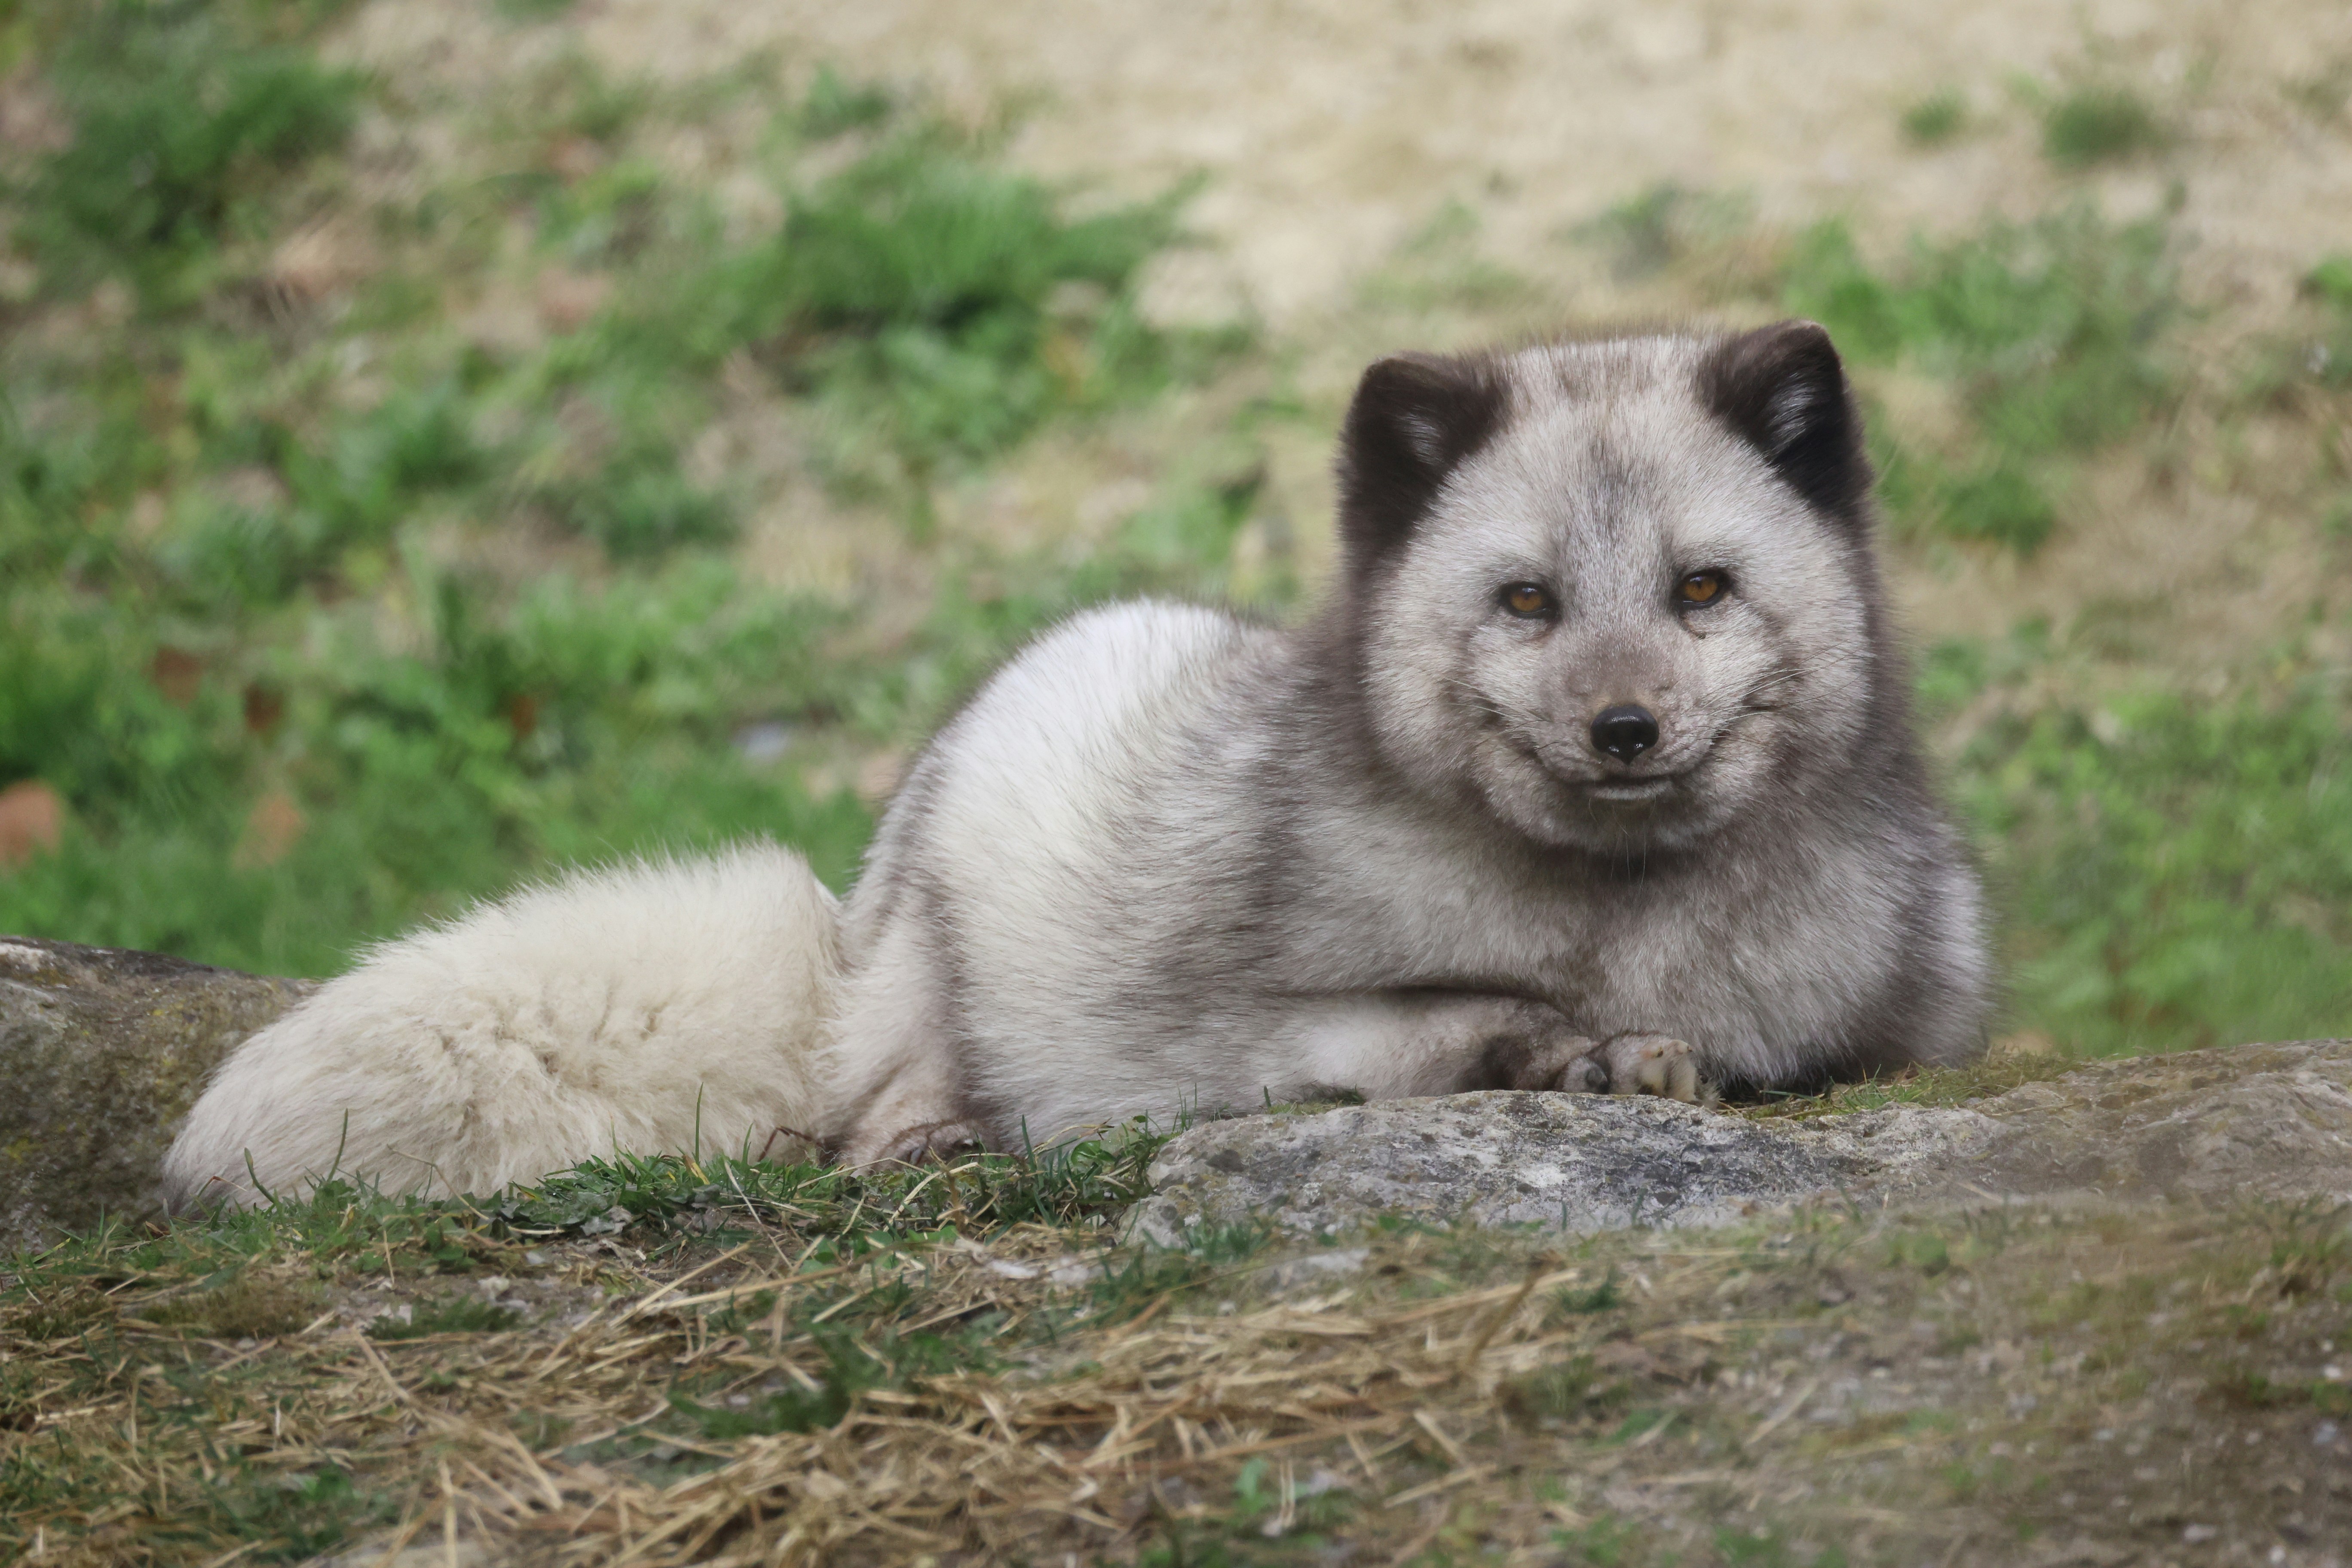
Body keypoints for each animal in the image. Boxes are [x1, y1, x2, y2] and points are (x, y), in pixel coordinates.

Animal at [163, 320, 1990, 1208]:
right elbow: (1445, 1024)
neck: (1619, 917)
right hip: (969, 923)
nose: (1623, 730)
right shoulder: (1246, 1030)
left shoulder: (1908, 1022)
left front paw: (1642, 1053)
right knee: (855, 1120)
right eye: (1528, 599)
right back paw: (931, 1146)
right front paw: (1581, 1054)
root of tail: (851, 903)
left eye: (1701, 590)